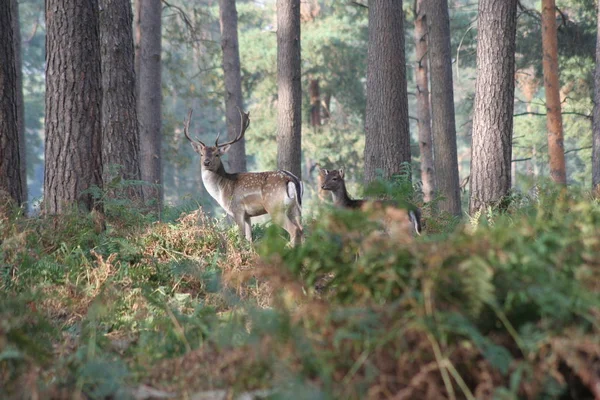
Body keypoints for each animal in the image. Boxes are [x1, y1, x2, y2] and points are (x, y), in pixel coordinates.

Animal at [184, 111, 304, 245]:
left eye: (217, 154)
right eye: (201, 154)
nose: (206, 162)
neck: (221, 191)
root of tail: (292, 179)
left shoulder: (237, 209)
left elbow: (241, 238)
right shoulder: (248, 215)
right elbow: (249, 239)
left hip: (274, 207)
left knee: (294, 230)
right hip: (296, 207)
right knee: (302, 229)